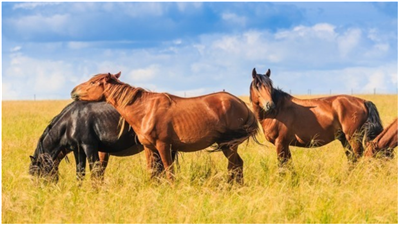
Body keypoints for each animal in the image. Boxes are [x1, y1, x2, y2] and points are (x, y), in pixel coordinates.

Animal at [28, 100, 166, 181]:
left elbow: (96, 173)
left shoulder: (89, 147)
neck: (70, 122)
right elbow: (80, 174)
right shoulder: (78, 151)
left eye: (37, 173)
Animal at [70, 71, 260, 183]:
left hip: (229, 146)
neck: (145, 110)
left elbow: (169, 170)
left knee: (236, 165)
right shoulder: (149, 148)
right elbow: (153, 172)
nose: (73, 91)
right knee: (236, 165)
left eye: (93, 82)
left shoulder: (164, 146)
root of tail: (241, 103)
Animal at [250, 67, 384, 166]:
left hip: (353, 138)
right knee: (352, 159)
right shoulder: (285, 145)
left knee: (357, 157)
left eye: (270, 86)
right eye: (257, 86)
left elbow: (283, 166)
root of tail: (363, 101)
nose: (270, 105)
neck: (277, 112)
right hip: (344, 139)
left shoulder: (281, 143)